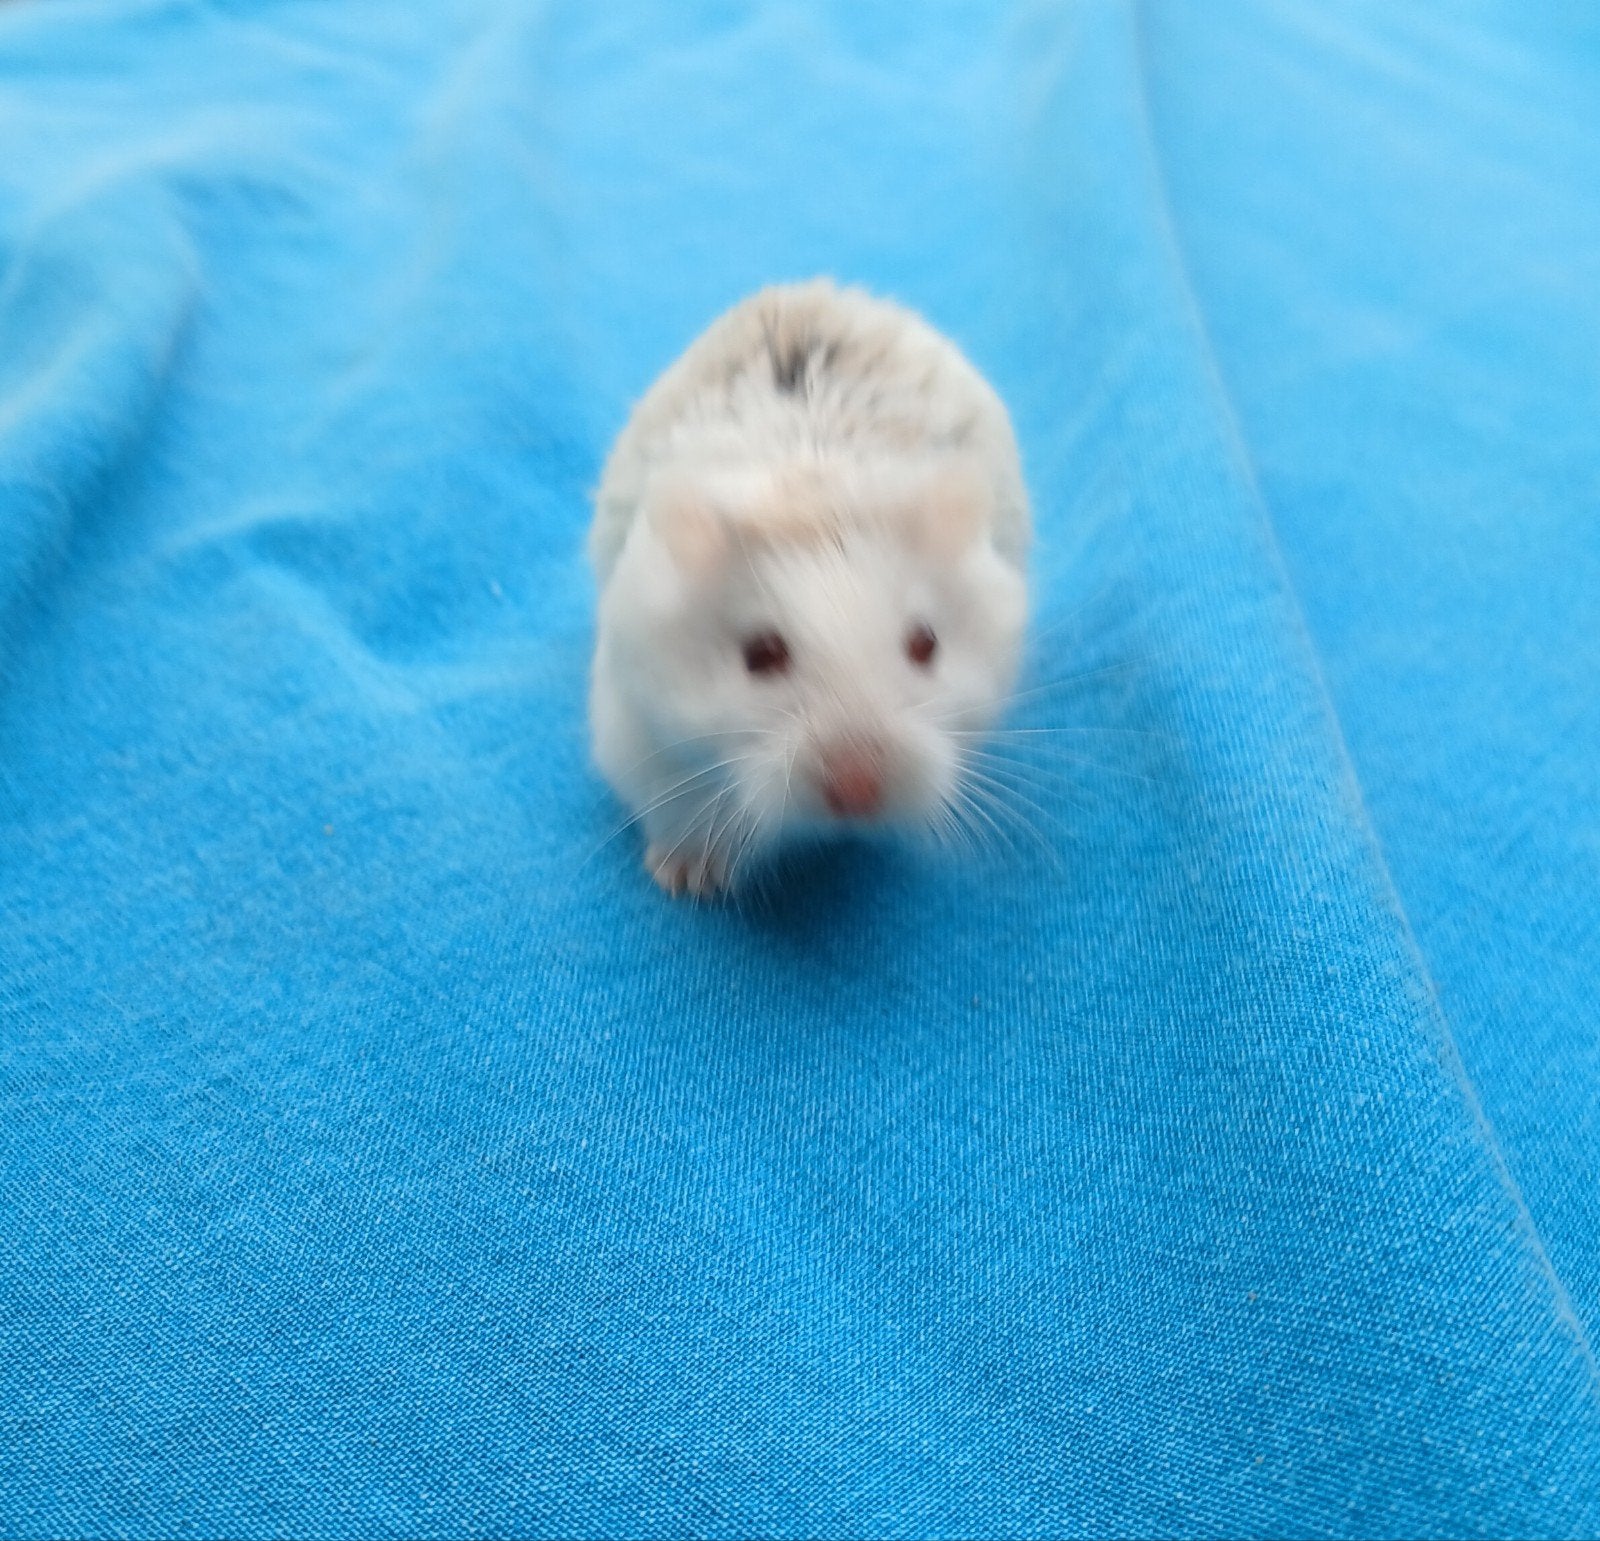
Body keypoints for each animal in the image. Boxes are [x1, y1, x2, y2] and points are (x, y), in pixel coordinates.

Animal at [589, 279, 1030, 897]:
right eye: (759, 655)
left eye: (926, 645)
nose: (857, 796)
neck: (818, 497)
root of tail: (807, 290)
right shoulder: (642, 739)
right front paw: (689, 881)